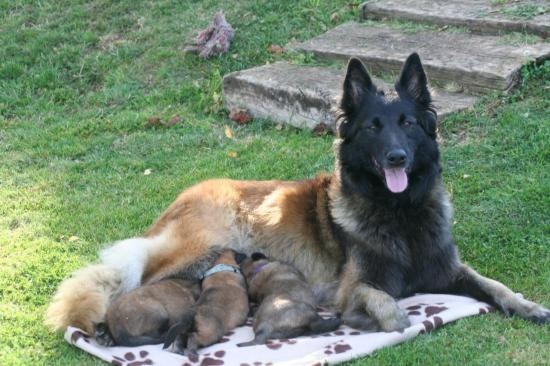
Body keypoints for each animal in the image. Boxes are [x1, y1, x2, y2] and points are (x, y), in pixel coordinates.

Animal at [48, 51, 550, 338]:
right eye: (373, 127)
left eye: (407, 123)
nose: (396, 157)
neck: (398, 212)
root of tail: (181, 198)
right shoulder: (354, 284)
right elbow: (383, 300)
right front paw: (384, 321)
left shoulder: (448, 269)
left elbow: (494, 285)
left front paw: (527, 305)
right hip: (197, 249)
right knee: (132, 282)